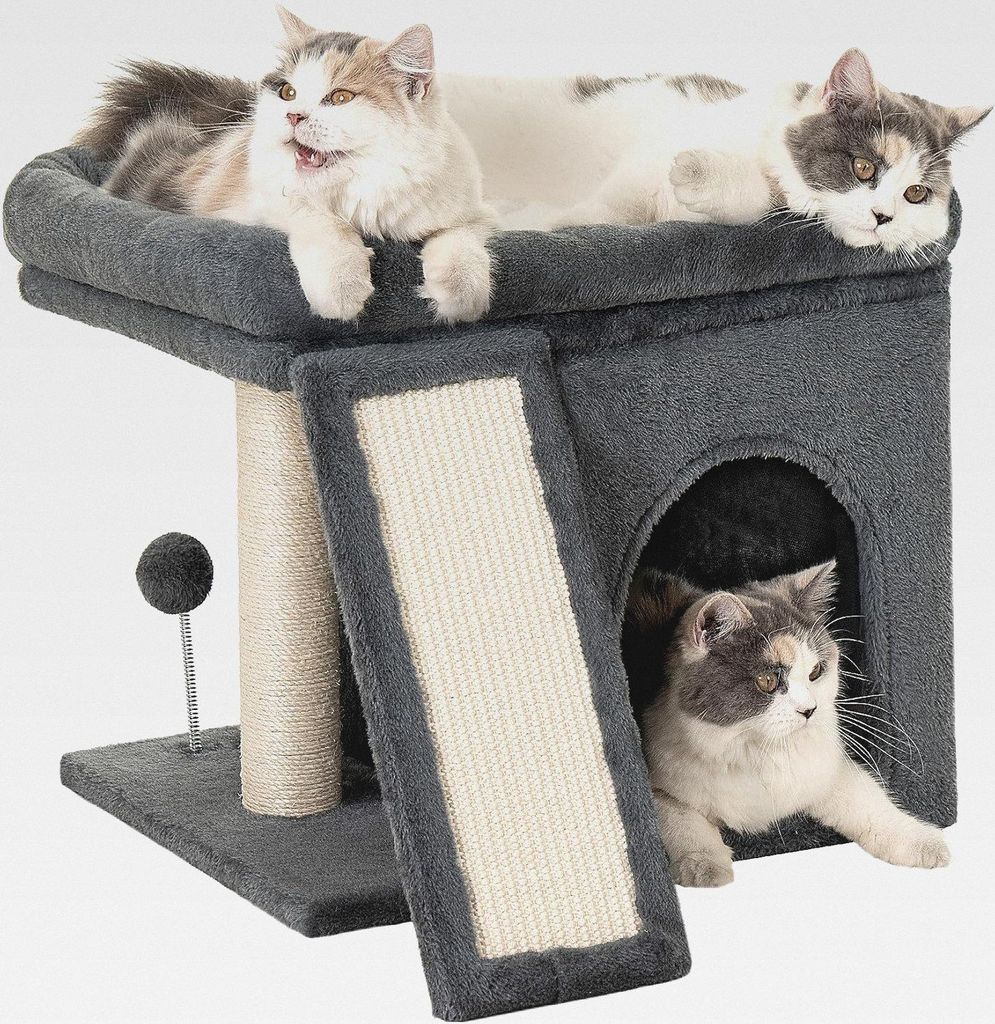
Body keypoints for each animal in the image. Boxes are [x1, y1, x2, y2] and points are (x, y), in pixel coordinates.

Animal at [75, 7, 494, 324]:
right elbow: (322, 223)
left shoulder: (472, 213)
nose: (293, 115)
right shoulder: (263, 201)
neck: (360, 190)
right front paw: (343, 292)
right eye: (288, 92)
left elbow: (462, 244)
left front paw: (457, 300)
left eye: (340, 98)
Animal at [441, 48, 988, 258]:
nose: (883, 216)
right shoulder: (646, 158)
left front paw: (698, 176)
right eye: (864, 167)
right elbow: (611, 204)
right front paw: (553, 222)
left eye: (916, 194)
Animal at [624, 560, 950, 887]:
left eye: (816, 671)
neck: (757, 750)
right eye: (768, 681)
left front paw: (925, 843)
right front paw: (705, 867)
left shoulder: (824, 771)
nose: (810, 710)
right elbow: (681, 820)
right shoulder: (659, 782)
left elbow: (868, 801)